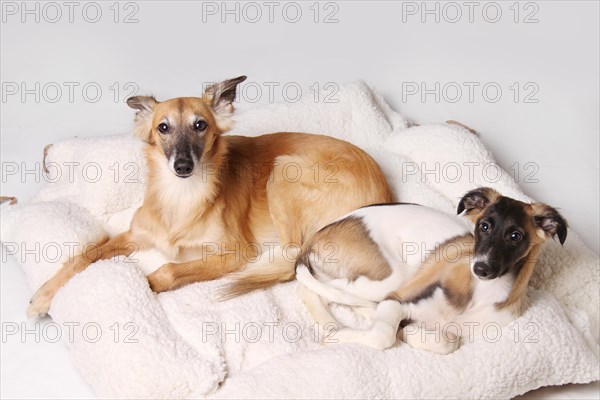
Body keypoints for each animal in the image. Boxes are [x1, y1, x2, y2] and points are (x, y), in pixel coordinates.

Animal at [28, 76, 394, 318]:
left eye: (200, 125)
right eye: (163, 127)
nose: (183, 165)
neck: (181, 197)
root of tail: (383, 192)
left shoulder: (234, 253)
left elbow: (168, 269)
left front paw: (145, 284)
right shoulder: (135, 234)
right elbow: (85, 255)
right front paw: (43, 297)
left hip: (284, 171)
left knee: (292, 260)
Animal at [296, 189, 568, 354]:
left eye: (515, 236)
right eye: (484, 226)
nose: (480, 268)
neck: (482, 292)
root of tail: (318, 234)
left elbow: (448, 340)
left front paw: (409, 331)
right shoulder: (399, 299)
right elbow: (383, 336)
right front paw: (341, 337)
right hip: (391, 278)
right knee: (312, 287)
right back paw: (334, 325)